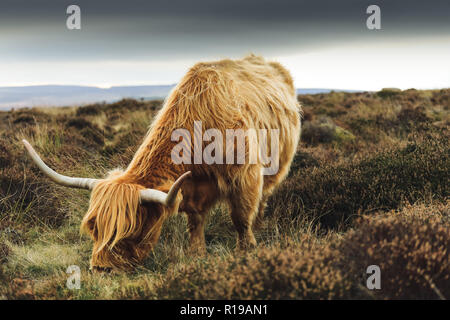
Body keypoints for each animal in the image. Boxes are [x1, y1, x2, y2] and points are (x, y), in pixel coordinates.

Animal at [22, 54, 300, 270]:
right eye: (94, 228)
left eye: (130, 231)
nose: (101, 269)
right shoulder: (191, 187)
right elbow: (195, 220)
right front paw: (196, 253)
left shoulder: (245, 176)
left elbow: (241, 217)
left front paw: (246, 250)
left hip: (276, 164)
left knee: (263, 197)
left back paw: (260, 224)